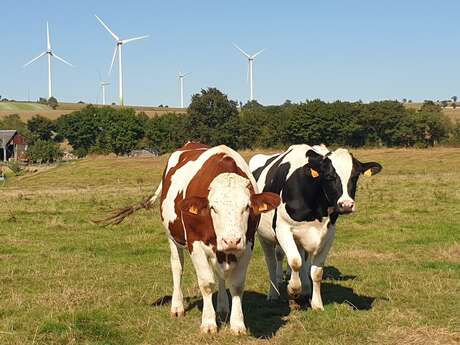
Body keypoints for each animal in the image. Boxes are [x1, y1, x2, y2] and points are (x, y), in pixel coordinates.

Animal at [101, 142, 280, 334]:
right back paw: (177, 306)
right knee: (177, 267)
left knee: (220, 274)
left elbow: (236, 284)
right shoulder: (196, 244)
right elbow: (207, 283)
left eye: (246, 207)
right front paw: (208, 323)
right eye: (213, 207)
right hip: (172, 237)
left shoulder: (247, 244)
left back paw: (223, 307)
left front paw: (237, 324)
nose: (231, 240)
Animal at [250, 144, 382, 308]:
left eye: (355, 176)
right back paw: (274, 292)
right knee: (272, 262)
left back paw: (306, 289)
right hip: (264, 236)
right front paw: (293, 290)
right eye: (329, 176)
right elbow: (295, 261)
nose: (346, 205)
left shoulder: (328, 234)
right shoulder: (283, 229)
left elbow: (316, 271)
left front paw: (317, 303)